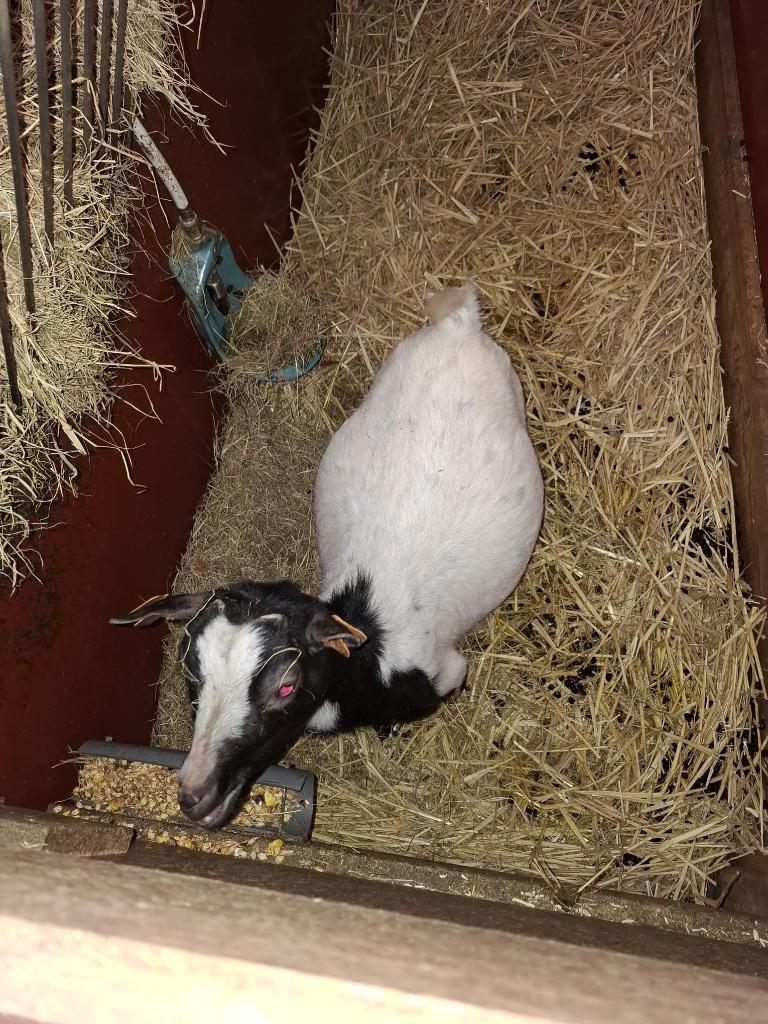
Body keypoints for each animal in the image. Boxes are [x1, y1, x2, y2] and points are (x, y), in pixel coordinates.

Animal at [111, 283, 544, 829]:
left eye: (286, 687)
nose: (195, 796)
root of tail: (459, 326)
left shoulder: (446, 670)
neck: (370, 650)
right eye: (190, 670)